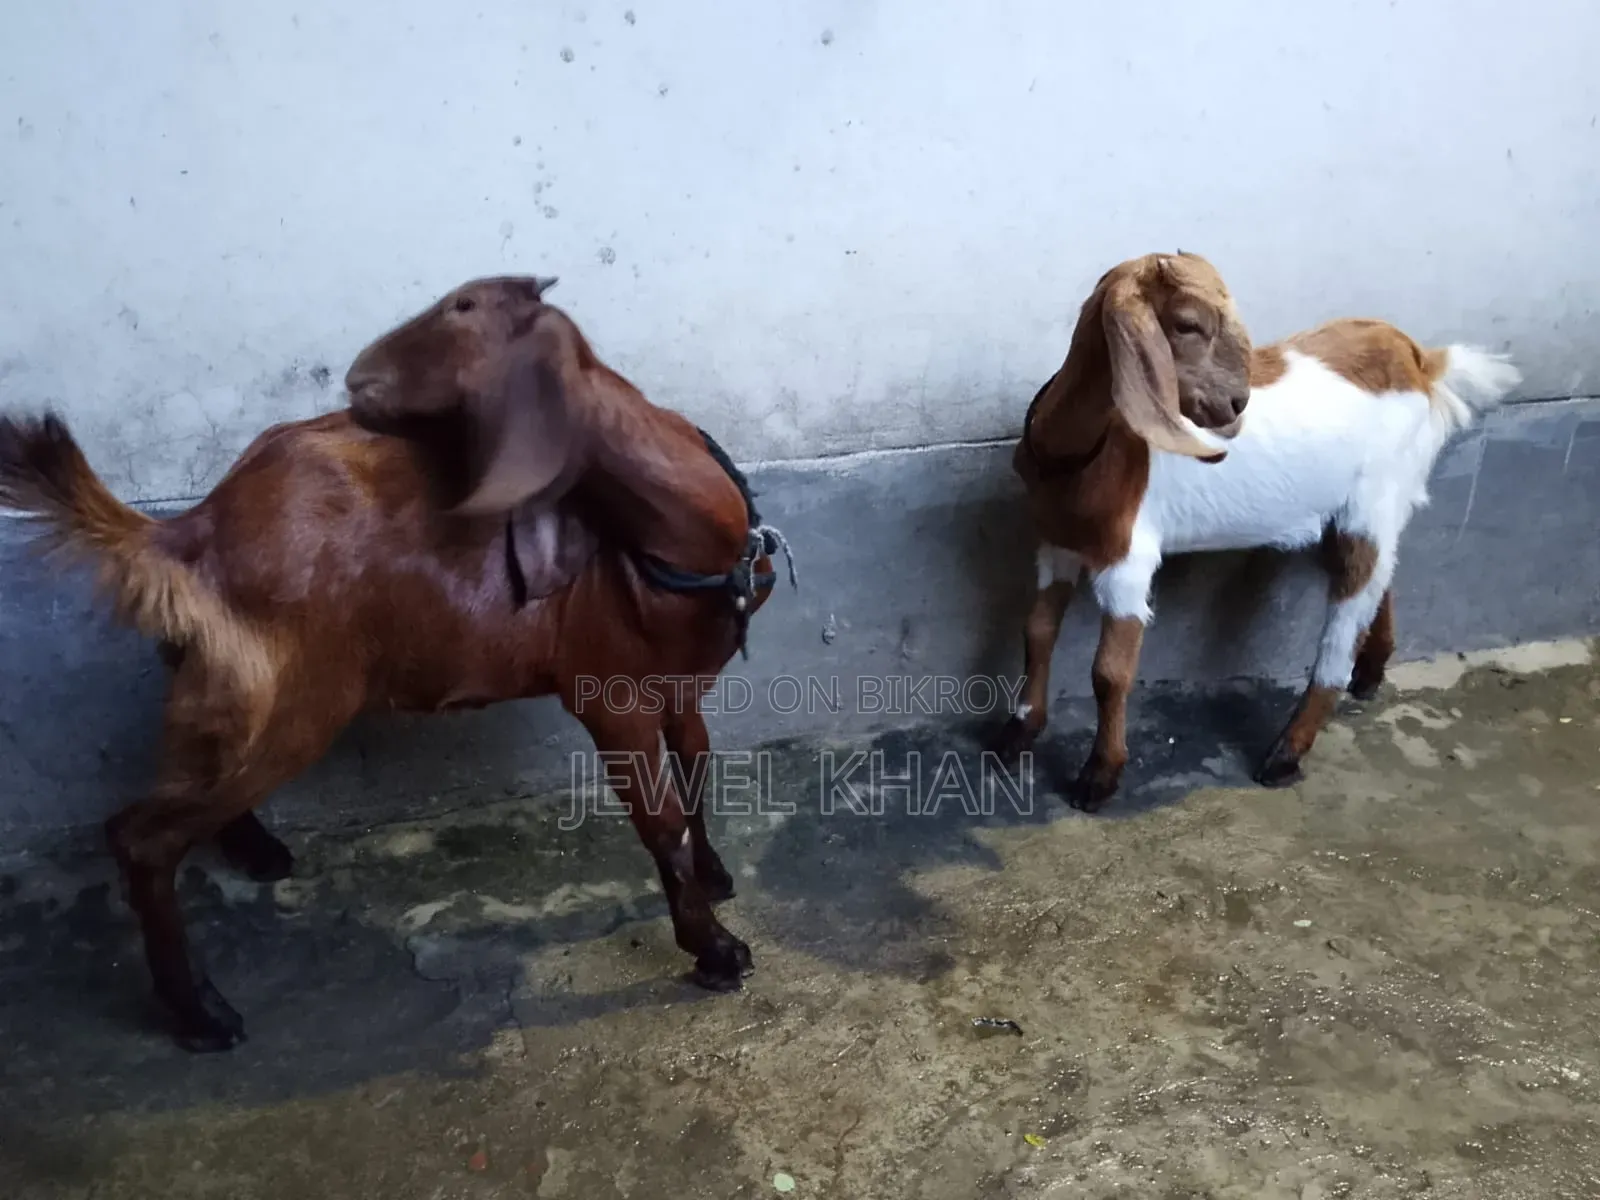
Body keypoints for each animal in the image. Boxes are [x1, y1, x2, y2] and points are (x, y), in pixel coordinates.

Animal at [0, 275, 794, 1052]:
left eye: (461, 307)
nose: (358, 379)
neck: (689, 543)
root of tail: (191, 532)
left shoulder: (681, 683)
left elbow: (696, 771)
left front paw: (715, 876)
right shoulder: (608, 693)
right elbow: (661, 822)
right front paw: (716, 950)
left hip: (214, 686)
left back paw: (254, 853)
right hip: (294, 706)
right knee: (142, 836)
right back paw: (201, 1016)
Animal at [990, 251, 1520, 811]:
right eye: (1187, 324)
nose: (1235, 405)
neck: (1082, 452)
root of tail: (1419, 359)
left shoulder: (1127, 556)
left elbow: (1109, 671)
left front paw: (1098, 778)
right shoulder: (1056, 544)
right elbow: (1037, 630)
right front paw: (1016, 734)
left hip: (1373, 500)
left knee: (1344, 623)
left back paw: (1286, 753)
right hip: (1356, 511)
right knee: (1382, 576)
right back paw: (1371, 672)